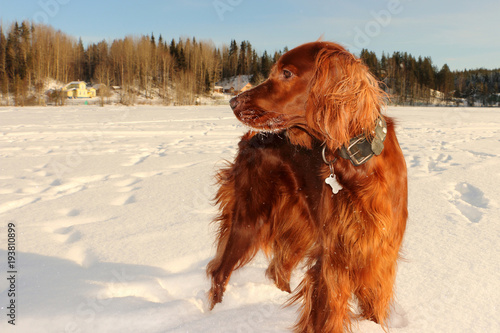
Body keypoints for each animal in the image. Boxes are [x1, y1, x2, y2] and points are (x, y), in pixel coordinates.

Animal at [207, 41, 406, 332]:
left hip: (299, 227)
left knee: (277, 269)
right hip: (250, 217)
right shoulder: (333, 258)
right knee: (220, 272)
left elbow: (374, 310)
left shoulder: (379, 257)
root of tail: (249, 139)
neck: (359, 162)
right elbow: (326, 316)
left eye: (287, 73)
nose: (232, 101)